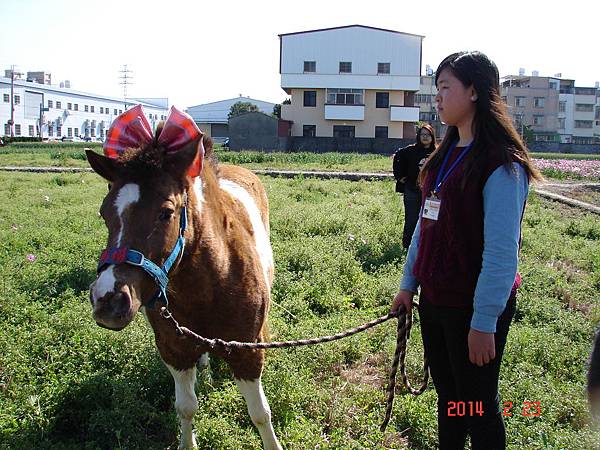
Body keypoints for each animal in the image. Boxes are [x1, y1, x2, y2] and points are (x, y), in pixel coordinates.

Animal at [86, 107, 282, 448]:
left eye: (166, 212)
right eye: (104, 212)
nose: (108, 301)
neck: (209, 284)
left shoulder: (247, 350)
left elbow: (260, 413)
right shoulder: (173, 349)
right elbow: (186, 406)